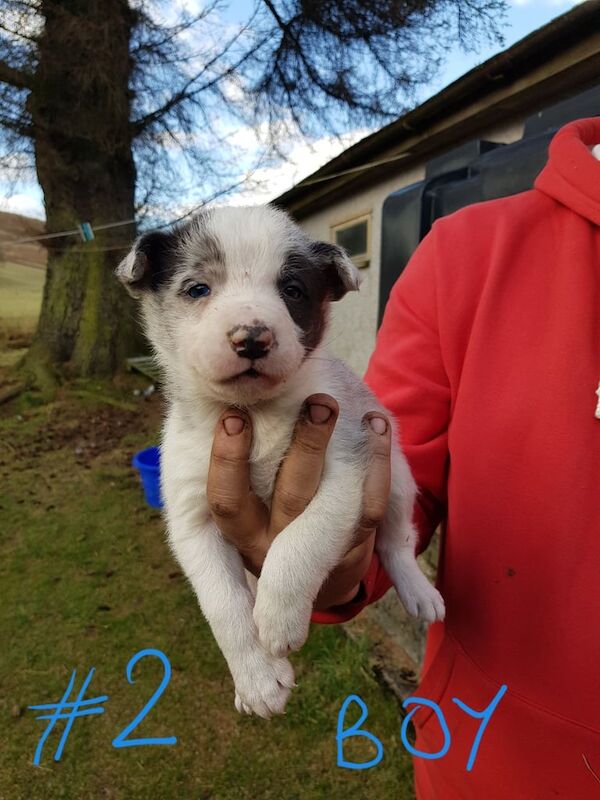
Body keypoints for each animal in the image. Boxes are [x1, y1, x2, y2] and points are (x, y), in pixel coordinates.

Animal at [118, 205, 446, 720]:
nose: (252, 338)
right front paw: (256, 678)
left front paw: (277, 618)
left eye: (292, 290)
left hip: (395, 480)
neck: (256, 414)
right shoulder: (192, 519)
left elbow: (299, 542)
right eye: (197, 289)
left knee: (397, 542)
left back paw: (419, 591)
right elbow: (223, 604)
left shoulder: (346, 471)